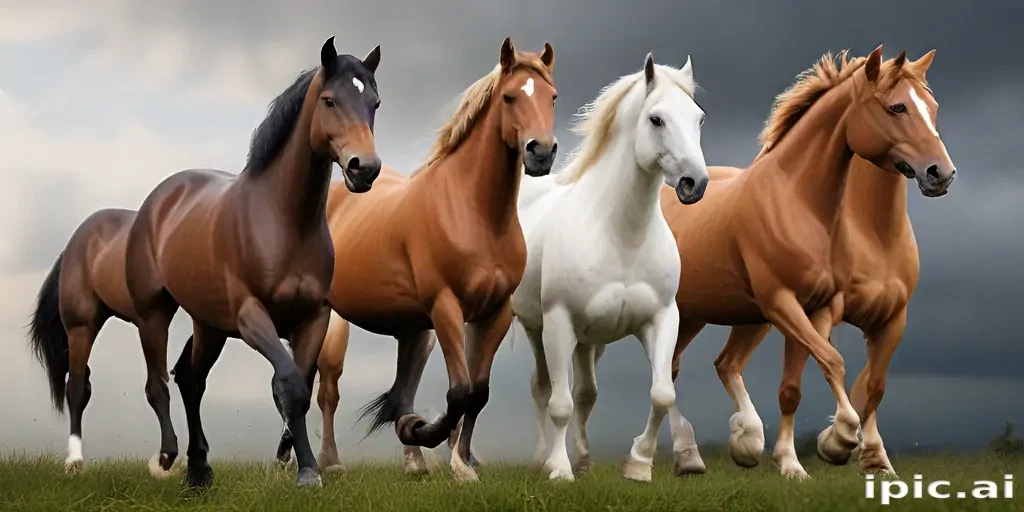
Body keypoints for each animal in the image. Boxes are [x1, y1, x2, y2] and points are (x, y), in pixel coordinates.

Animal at [119, 36, 383, 488]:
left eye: (375, 103)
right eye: (330, 100)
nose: (363, 168)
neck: (283, 221)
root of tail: (160, 200)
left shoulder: (313, 319)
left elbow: (300, 389)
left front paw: (305, 466)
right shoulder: (251, 317)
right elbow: (289, 384)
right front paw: (307, 472)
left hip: (209, 325)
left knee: (192, 379)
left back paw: (199, 469)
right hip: (155, 315)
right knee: (159, 384)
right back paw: (170, 458)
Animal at [274, 37, 558, 483]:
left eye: (552, 97)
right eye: (510, 97)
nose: (541, 152)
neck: (474, 212)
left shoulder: (494, 314)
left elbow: (478, 394)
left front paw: (460, 461)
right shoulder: (446, 307)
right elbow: (459, 392)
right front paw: (428, 436)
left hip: (413, 332)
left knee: (399, 389)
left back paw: (412, 461)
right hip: (334, 324)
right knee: (324, 390)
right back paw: (325, 460)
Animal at [513, 53, 708, 482]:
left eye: (699, 118)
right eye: (656, 119)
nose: (695, 183)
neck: (621, 236)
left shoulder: (661, 318)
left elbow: (661, 393)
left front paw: (638, 463)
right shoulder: (558, 322)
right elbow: (559, 403)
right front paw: (559, 470)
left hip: (590, 341)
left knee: (586, 393)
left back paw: (584, 459)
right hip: (535, 329)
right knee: (541, 388)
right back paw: (542, 458)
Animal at [585, 45, 956, 480]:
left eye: (932, 107)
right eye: (898, 106)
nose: (941, 173)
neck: (796, 200)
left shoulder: (826, 309)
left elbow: (815, 384)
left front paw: (814, 458)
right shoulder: (782, 302)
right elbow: (834, 363)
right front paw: (836, 442)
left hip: (717, 316)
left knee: (703, 365)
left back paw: (718, 448)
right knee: (673, 372)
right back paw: (695, 451)